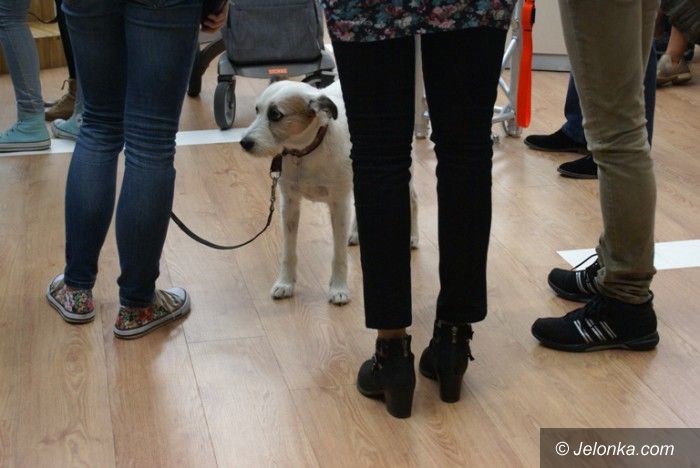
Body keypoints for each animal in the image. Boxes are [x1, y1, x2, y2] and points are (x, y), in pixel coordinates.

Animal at [240, 80, 418, 305]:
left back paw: (413, 237)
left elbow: (338, 255)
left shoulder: (338, 205)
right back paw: (356, 233)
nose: (244, 143)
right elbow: (288, 252)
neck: (305, 152)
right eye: (257, 110)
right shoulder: (289, 204)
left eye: (275, 115)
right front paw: (285, 283)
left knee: (414, 200)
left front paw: (339, 289)